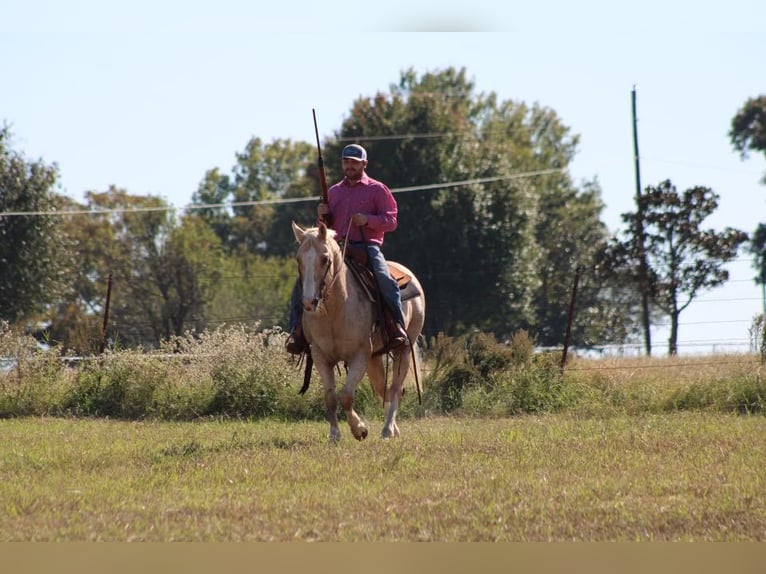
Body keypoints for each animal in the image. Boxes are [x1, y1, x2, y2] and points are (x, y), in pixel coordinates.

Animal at [292, 223, 426, 444]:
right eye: (298, 259)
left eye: (325, 258)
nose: (309, 302)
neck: (335, 310)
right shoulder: (320, 355)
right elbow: (330, 397)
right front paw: (334, 435)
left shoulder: (359, 355)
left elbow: (346, 396)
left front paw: (359, 429)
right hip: (374, 358)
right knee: (383, 390)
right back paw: (394, 429)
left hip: (404, 349)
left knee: (395, 388)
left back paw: (388, 430)